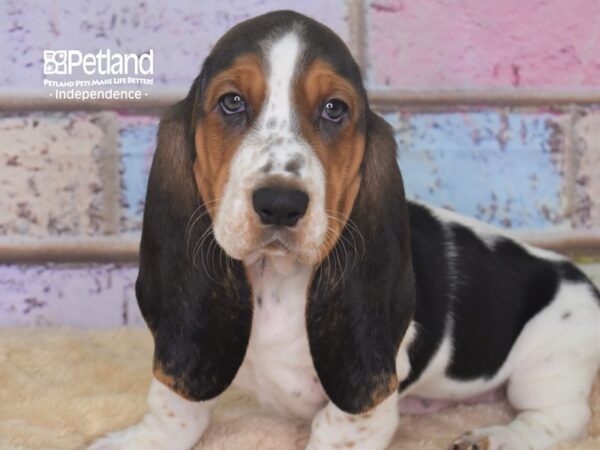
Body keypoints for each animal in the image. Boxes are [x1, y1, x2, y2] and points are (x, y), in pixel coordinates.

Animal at [89, 9, 600, 450]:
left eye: (335, 110)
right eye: (231, 102)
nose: (280, 205)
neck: (275, 280)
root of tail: (582, 277)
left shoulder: (366, 399)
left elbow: (333, 427)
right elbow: (174, 408)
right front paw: (140, 442)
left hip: (548, 363)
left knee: (558, 417)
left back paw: (496, 436)